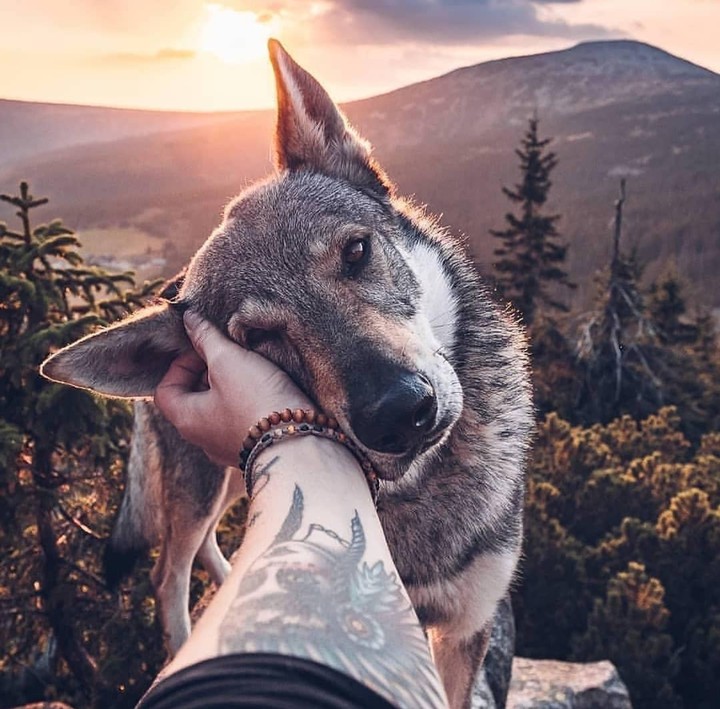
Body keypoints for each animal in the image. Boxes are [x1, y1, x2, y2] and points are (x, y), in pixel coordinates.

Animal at [41, 40, 533, 708]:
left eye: (356, 251)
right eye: (259, 339)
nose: (399, 413)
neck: (417, 495)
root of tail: (165, 287)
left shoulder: (467, 627)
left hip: (228, 478)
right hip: (200, 486)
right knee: (167, 572)